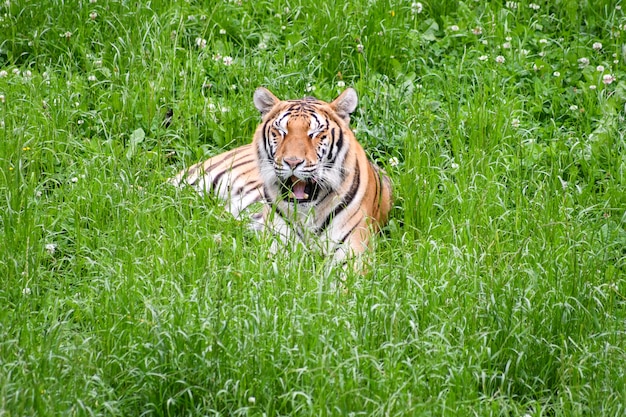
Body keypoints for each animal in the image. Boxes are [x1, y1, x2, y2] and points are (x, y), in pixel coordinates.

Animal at [169, 87, 390, 262]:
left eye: (314, 133)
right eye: (281, 131)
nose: (292, 162)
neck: (306, 213)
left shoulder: (352, 255)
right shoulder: (277, 249)